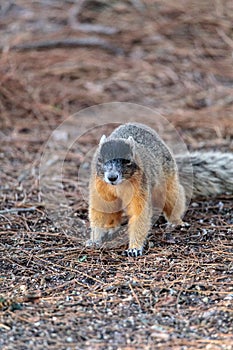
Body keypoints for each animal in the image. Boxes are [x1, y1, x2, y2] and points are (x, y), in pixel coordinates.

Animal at [87, 121, 233, 256]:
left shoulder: (141, 189)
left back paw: (176, 222)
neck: (119, 185)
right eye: (99, 158)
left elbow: (140, 215)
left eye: (127, 160)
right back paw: (111, 228)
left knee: (173, 200)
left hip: (168, 185)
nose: (112, 177)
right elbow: (99, 212)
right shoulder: (100, 189)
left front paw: (134, 248)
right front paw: (94, 240)